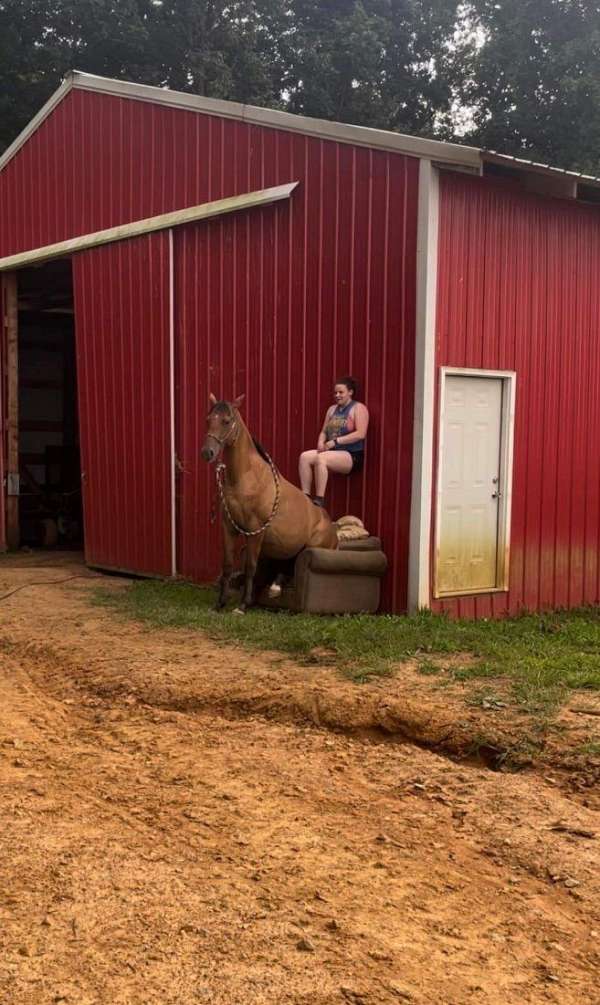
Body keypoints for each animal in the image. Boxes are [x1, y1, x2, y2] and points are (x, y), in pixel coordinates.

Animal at [201, 391, 339, 611]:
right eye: (208, 419)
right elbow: (228, 565)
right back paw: (274, 587)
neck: (246, 477)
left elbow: (250, 566)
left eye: (226, 421)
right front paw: (220, 603)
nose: (207, 452)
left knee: (294, 564)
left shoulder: (255, 530)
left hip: (310, 546)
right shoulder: (228, 527)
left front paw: (242, 606)